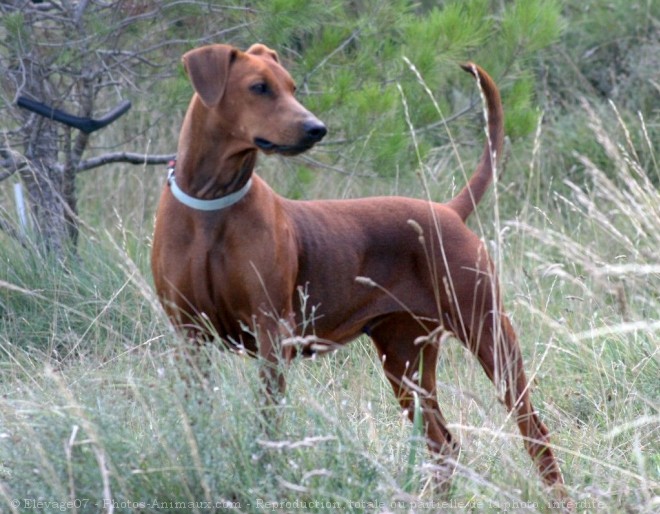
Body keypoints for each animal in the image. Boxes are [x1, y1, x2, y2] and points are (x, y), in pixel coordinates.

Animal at [151, 43, 568, 492]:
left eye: (292, 86)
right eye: (259, 87)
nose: (316, 129)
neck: (212, 206)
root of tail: (447, 211)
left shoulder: (271, 336)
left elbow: (266, 426)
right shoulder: (190, 337)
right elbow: (199, 418)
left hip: (489, 336)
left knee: (534, 433)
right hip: (404, 362)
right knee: (444, 445)